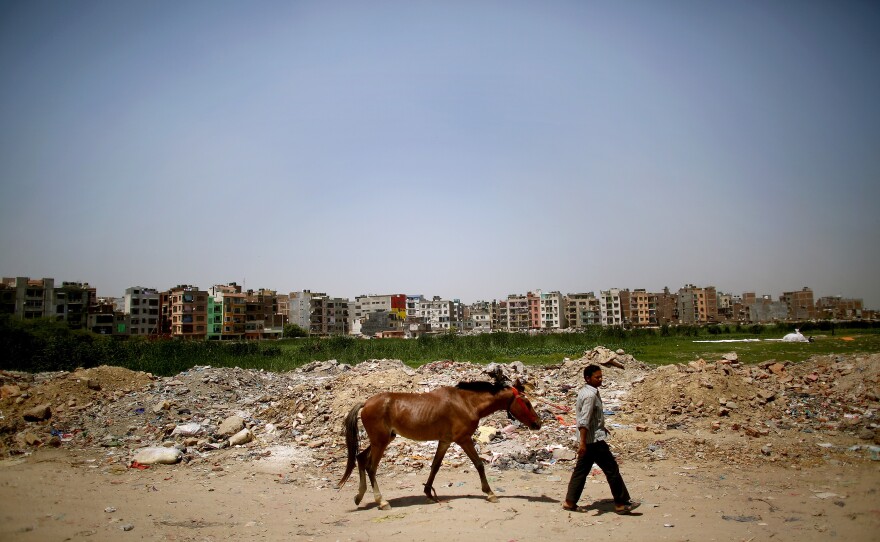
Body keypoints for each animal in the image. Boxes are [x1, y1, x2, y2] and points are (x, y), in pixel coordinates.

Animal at [338, 380, 540, 512]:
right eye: (527, 402)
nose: (538, 423)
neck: (467, 403)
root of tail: (366, 403)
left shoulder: (445, 441)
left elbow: (435, 466)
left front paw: (428, 492)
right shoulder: (464, 439)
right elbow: (479, 464)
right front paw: (490, 493)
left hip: (381, 440)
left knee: (360, 459)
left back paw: (359, 497)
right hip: (380, 442)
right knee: (371, 468)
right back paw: (382, 502)